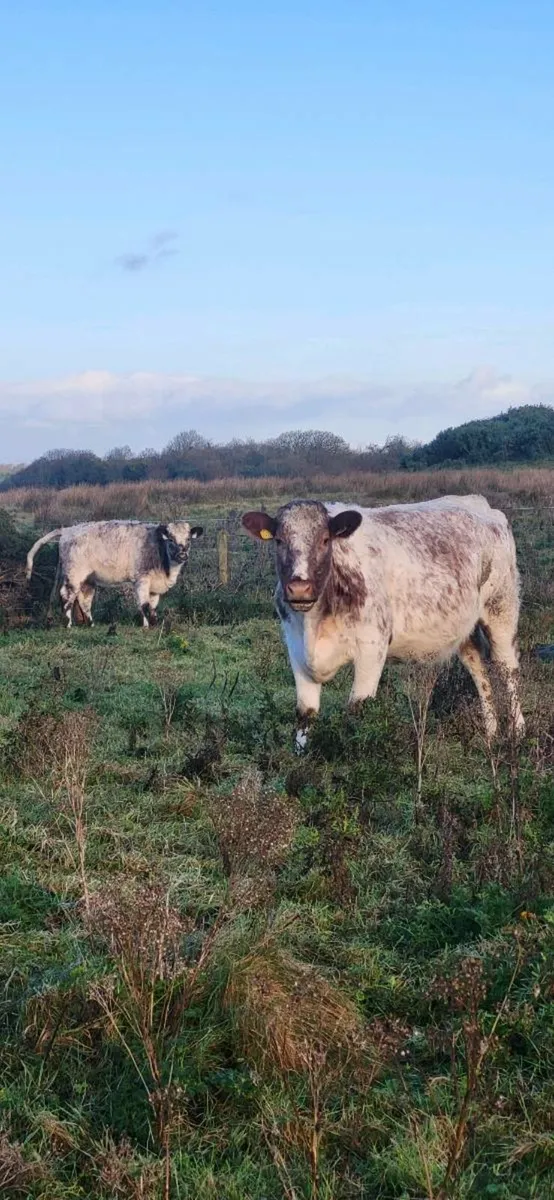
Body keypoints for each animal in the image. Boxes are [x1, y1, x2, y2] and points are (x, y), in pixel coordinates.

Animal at [26, 519, 203, 628]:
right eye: (171, 539)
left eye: (188, 539)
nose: (182, 555)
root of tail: (68, 530)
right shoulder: (141, 580)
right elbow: (144, 604)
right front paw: (149, 625)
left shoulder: (154, 585)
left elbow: (152, 605)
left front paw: (151, 623)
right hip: (74, 574)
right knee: (66, 595)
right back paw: (67, 623)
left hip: (88, 579)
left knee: (84, 600)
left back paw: (90, 624)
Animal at [242, 495, 524, 749]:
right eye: (279, 540)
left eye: (325, 540)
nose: (300, 588)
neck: (314, 625)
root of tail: (481, 503)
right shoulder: (296, 647)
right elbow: (305, 712)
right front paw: (301, 759)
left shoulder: (372, 646)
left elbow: (357, 710)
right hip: (465, 628)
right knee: (477, 666)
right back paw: (491, 733)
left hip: (501, 608)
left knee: (507, 668)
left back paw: (517, 732)